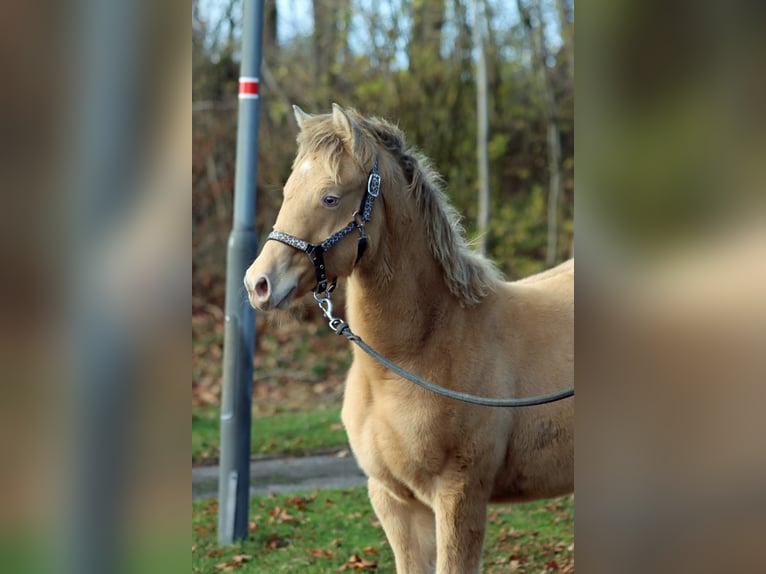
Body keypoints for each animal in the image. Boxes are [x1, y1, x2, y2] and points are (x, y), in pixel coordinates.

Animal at [244, 104, 574, 573]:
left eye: (330, 197)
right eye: (289, 190)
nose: (259, 284)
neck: (411, 357)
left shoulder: (459, 498)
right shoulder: (393, 500)